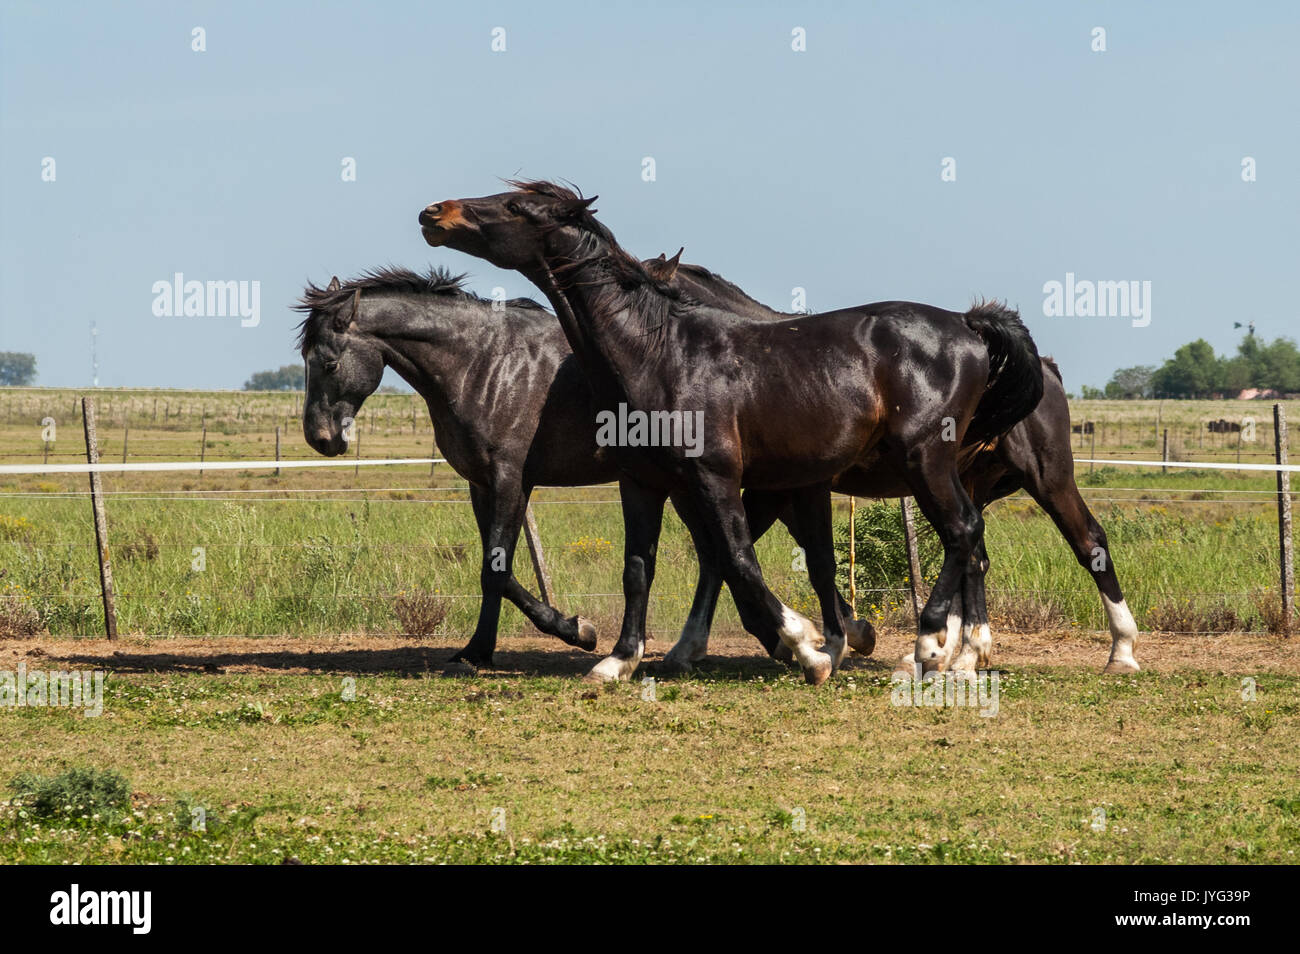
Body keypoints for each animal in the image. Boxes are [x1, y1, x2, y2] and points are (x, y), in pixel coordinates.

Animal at [418, 181, 1045, 685]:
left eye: (513, 205)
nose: (433, 212)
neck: (659, 355)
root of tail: (967, 324)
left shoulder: (717, 477)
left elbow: (740, 559)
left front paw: (808, 649)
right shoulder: (641, 483)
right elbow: (638, 568)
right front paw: (617, 660)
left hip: (925, 459)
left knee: (963, 532)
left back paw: (929, 649)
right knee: (967, 539)